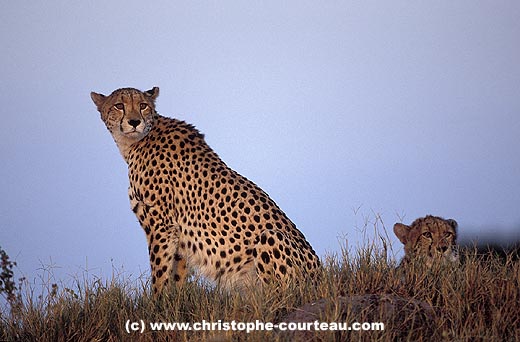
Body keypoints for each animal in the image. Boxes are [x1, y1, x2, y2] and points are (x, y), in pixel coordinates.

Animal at [91, 87, 318, 296]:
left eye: (143, 105)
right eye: (119, 106)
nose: (134, 122)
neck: (135, 143)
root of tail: (320, 274)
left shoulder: (161, 225)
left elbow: (159, 272)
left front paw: (155, 305)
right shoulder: (178, 232)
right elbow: (176, 273)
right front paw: (174, 303)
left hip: (271, 237)